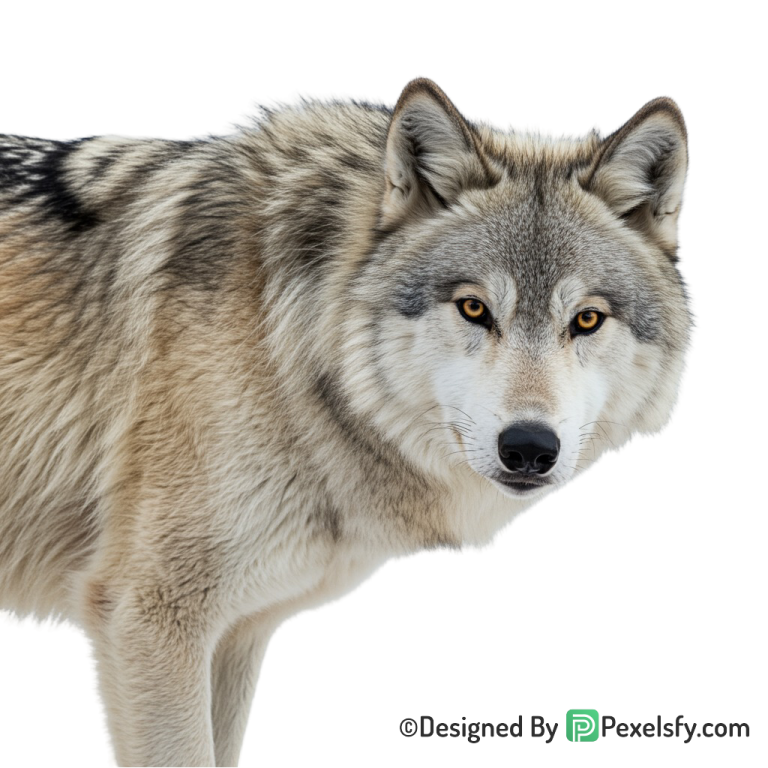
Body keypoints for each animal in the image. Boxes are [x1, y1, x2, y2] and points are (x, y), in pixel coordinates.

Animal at [0, 76, 695, 765]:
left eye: (586, 319)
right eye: (474, 308)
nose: (528, 447)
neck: (286, 342)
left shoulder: (235, 634)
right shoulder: (147, 619)